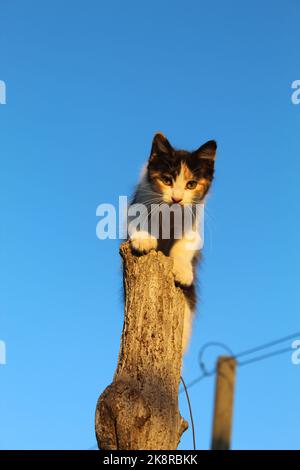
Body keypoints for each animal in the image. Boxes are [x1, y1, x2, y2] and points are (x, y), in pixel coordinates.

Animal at [127, 131, 217, 348]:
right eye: (167, 180)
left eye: (191, 184)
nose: (177, 199)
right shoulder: (139, 202)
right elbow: (139, 219)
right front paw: (144, 239)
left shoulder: (193, 221)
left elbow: (185, 245)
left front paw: (182, 271)